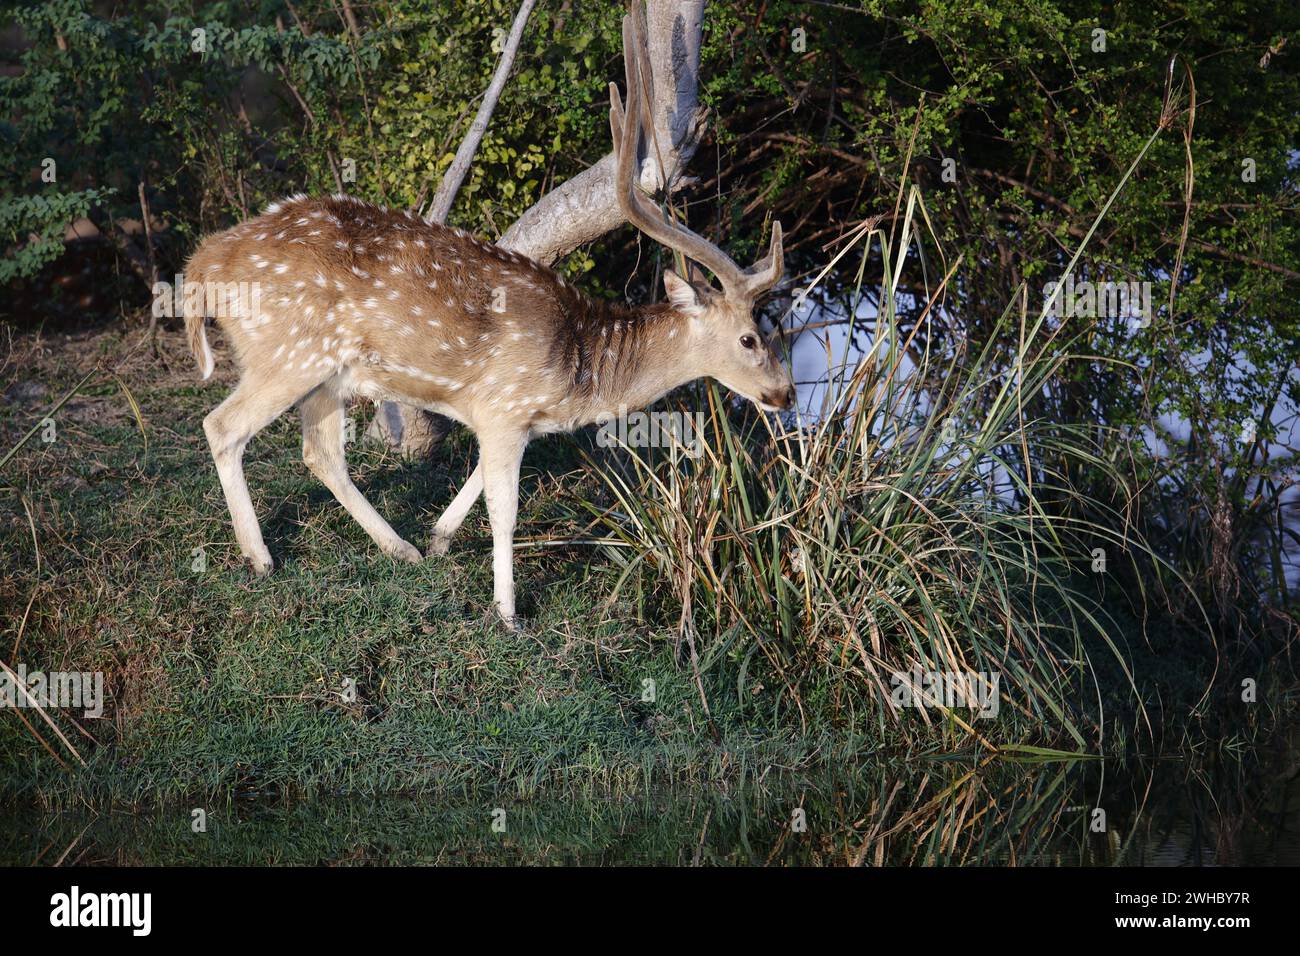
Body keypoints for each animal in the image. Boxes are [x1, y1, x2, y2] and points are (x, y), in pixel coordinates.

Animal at [182, 11, 790, 632]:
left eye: (776, 330)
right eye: (748, 337)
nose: (785, 394)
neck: (581, 371)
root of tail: (202, 264)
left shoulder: (505, 415)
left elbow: (477, 478)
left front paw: (439, 537)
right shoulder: (505, 403)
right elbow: (505, 509)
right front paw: (508, 611)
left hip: (326, 374)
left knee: (320, 453)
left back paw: (400, 548)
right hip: (288, 353)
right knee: (223, 425)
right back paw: (260, 556)